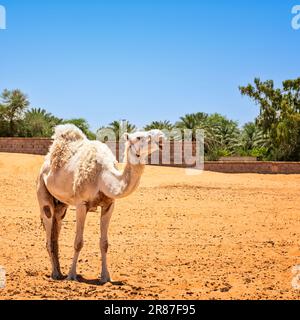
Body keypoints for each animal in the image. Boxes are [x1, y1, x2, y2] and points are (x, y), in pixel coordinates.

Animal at [37, 124, 166, 282]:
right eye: (139, 137)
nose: (161, 136)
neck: (102, 176)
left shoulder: (109, 205)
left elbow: (104, 244)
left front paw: (105, 277)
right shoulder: (81, 204)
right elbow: (78, 242)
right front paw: (72, 275)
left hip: (61, 205)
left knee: (56, 230)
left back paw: (60, 272)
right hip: (42, 191)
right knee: (48, 228)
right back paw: (55, 274)